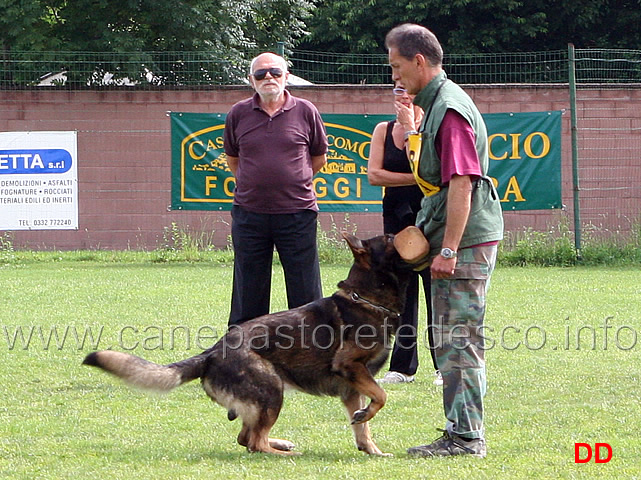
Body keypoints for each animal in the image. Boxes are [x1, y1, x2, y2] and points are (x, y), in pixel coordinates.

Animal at [82, 232, 412, 458]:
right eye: (389, 239)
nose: (405, 230)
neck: (366, 298)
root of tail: (211, 353)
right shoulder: (351, 367)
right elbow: (382, 396)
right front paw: (369, 423)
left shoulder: (353, 388)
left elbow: (363, 427)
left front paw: (372, 449)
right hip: (272, 392)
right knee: (255, 443)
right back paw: (285, 452)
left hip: (260, 399)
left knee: (246, 438)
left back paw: (283, 443)